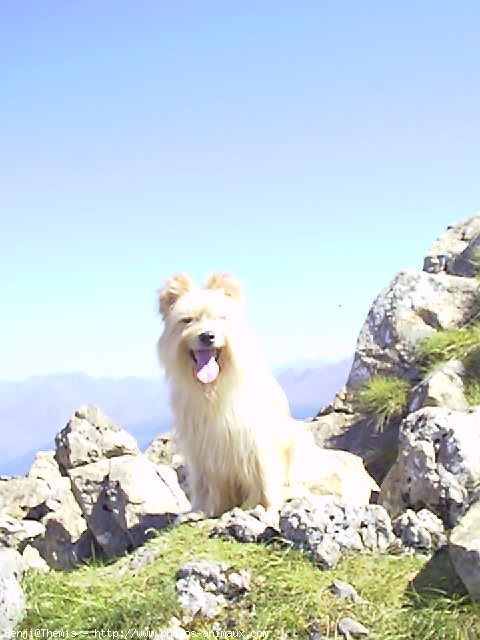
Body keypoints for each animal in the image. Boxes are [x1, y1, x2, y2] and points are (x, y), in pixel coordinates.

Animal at [158, 272, 378, 516]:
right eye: (187, 320)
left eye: (221, 318)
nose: (208, 336)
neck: (214, 390)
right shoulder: (201, 448)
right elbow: (205, 483)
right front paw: (201, 510)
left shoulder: (257, 441)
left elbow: (263, 475)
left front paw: (264, 506)